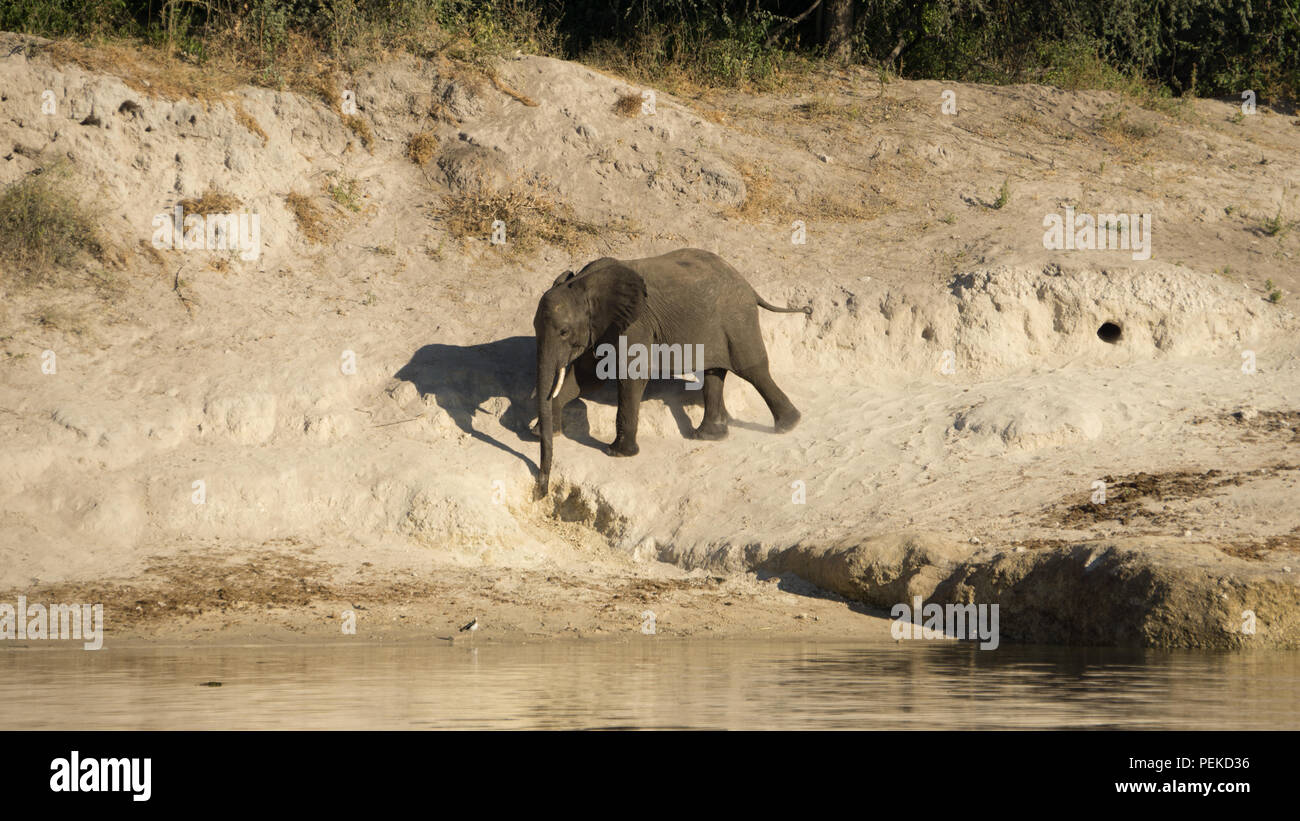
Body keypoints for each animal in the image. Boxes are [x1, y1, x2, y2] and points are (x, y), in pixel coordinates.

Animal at [533, 248, 810, 495]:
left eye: (564, 332)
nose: (541, 491)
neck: (583, 282)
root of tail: (748, 285)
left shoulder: (635, 325)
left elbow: (630, 375)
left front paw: (617, 453)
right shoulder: (602, 327)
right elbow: (587, 377)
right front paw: (541, 432)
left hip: (737, 318)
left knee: (752, 369)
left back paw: (788, 426)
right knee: (714, 373)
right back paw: (708, 436)